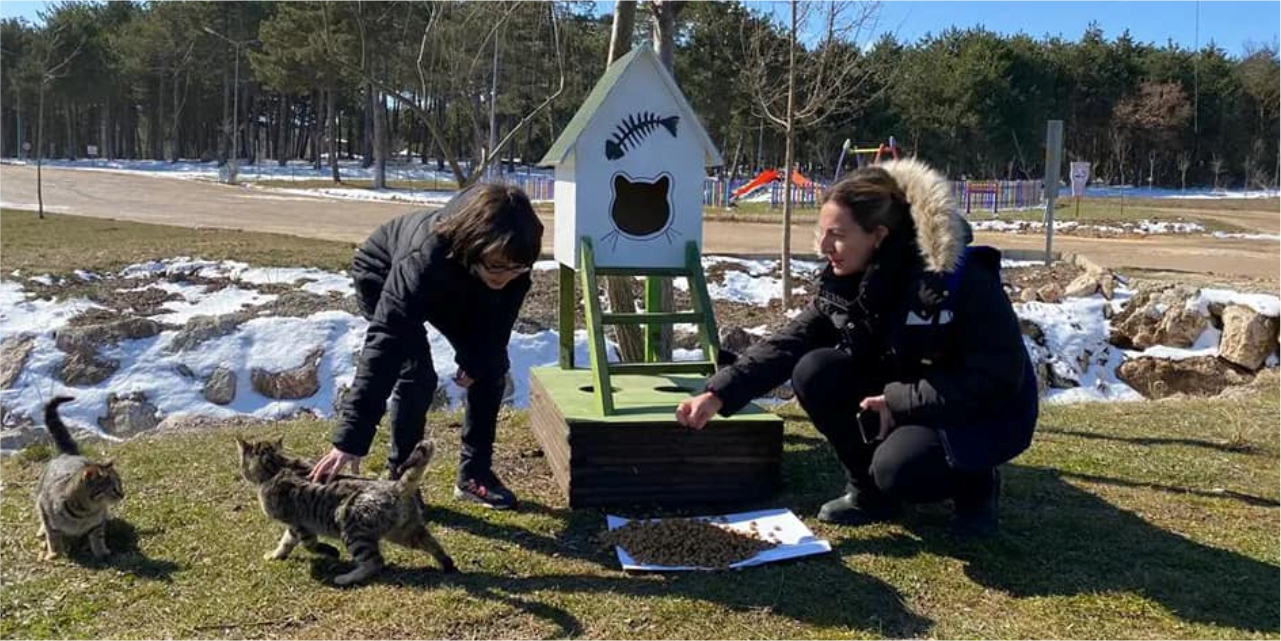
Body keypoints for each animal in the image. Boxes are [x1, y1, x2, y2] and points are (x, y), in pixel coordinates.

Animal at [34, 394, 123, 561]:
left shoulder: (96, 524)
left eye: (120, 485)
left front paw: (101, 552)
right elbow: (53, 537)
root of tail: (68, 454)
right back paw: (41, 531)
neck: (85, 514)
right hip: (40, 498)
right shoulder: (47, 512)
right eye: (113, 488)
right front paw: (54, 553)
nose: (123, 495)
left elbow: (98, 537)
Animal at [235, 435, 456, 587]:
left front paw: (330, 552)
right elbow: (285, 543)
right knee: (433, 545)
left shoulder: (299, 524)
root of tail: (395, 486)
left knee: (375, 562)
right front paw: (276, 555)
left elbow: (310, 545)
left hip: (352, 529)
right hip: (406, 532)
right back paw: (447, 564)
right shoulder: (295, 526)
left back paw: (346, 578)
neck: (276, 467)